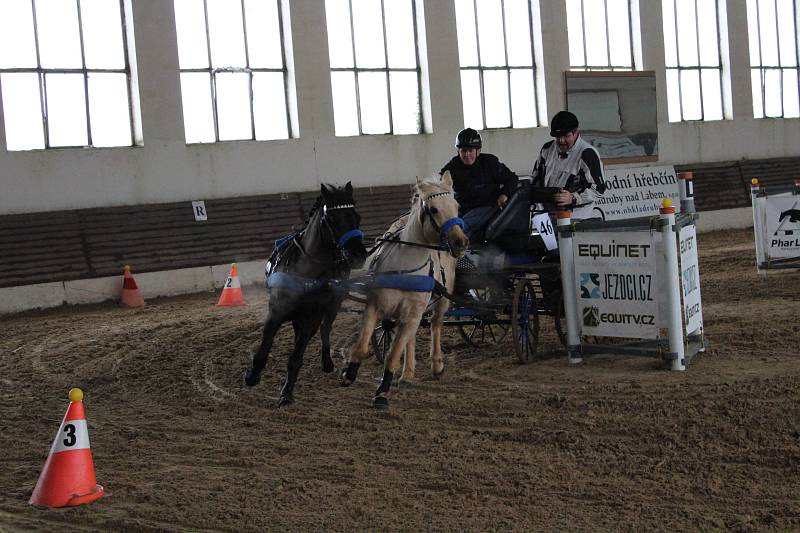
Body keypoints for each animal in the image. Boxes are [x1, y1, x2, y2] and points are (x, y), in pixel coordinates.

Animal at [244, 181, 368, 406]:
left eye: (357, 216)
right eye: (332, 219)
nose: (358, 255)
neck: (305, 270)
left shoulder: (311, 315)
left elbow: (296, 357)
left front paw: (286, 392)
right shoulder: (276, 311)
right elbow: (264, 346)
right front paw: (252, 375)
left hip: (332, 305)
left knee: (324, 330)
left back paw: (326, 362)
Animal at [338, 174, 468, 408]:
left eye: (456, 206)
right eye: (433, 209)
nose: (460, 242)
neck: (406, 266)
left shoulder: (414, 313)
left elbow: (393, 355)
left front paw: (382, 394)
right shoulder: (375, 306)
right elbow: (362, 346)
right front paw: (348, 374)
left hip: (441, 301)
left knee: (435, 326)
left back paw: (436, 365)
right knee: (410, 337)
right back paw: (407, 373)